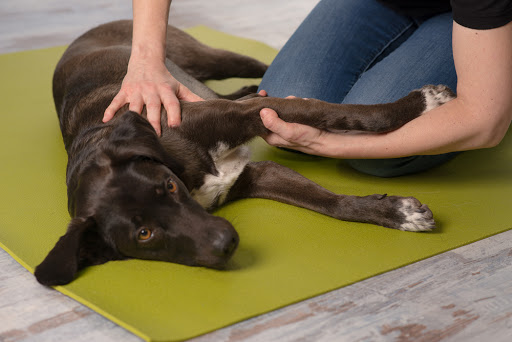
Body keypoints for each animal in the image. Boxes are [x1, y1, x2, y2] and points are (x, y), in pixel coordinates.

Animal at [34, 19, 454, 286]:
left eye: (167, 187)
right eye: (144, 234)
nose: (227, 243)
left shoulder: (253, 115)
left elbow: (339, 113)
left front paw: (418, 105)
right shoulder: (257, 173)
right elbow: (331, 204)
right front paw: (395, 213)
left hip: (207, 57)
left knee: (255, 64)